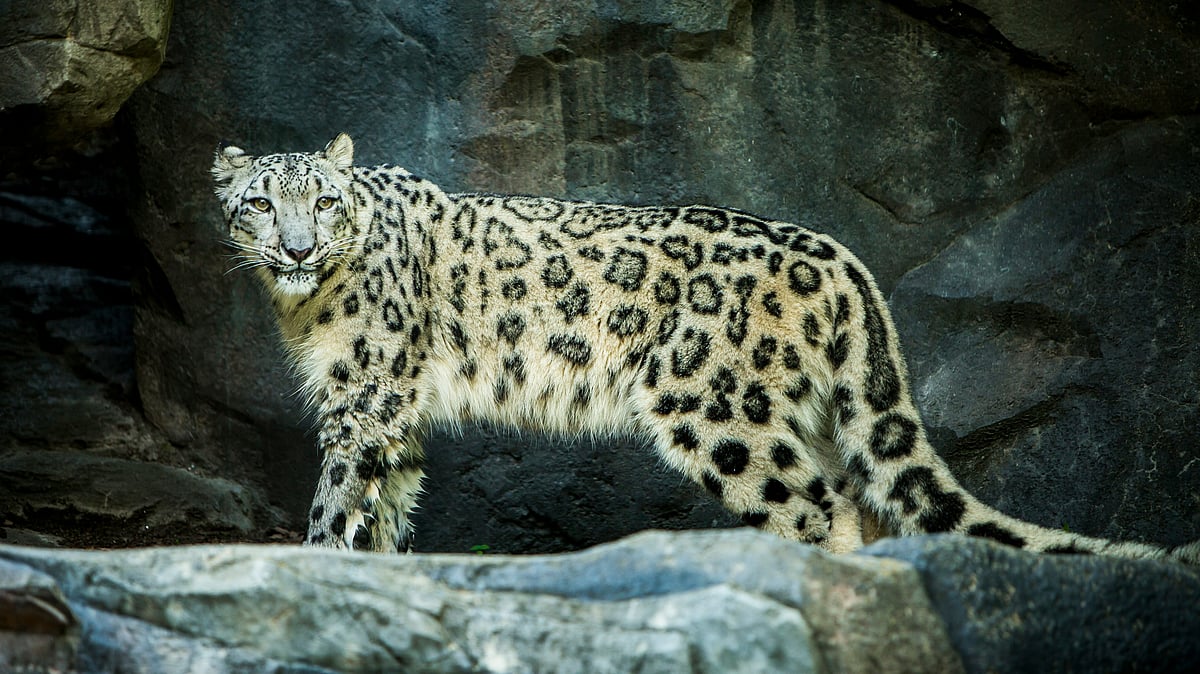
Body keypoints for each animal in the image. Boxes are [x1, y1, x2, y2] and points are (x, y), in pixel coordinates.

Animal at [212, 134, 1199, 564]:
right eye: (260, 202)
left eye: (323, 201)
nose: (296, 248)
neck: (302, 311)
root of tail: (842, 259)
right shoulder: (398, 417)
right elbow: (385, 512)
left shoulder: (363, 400)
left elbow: (337, 501)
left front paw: (315, 565)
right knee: (857, 498)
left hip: (719, 408)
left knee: (817, 507)